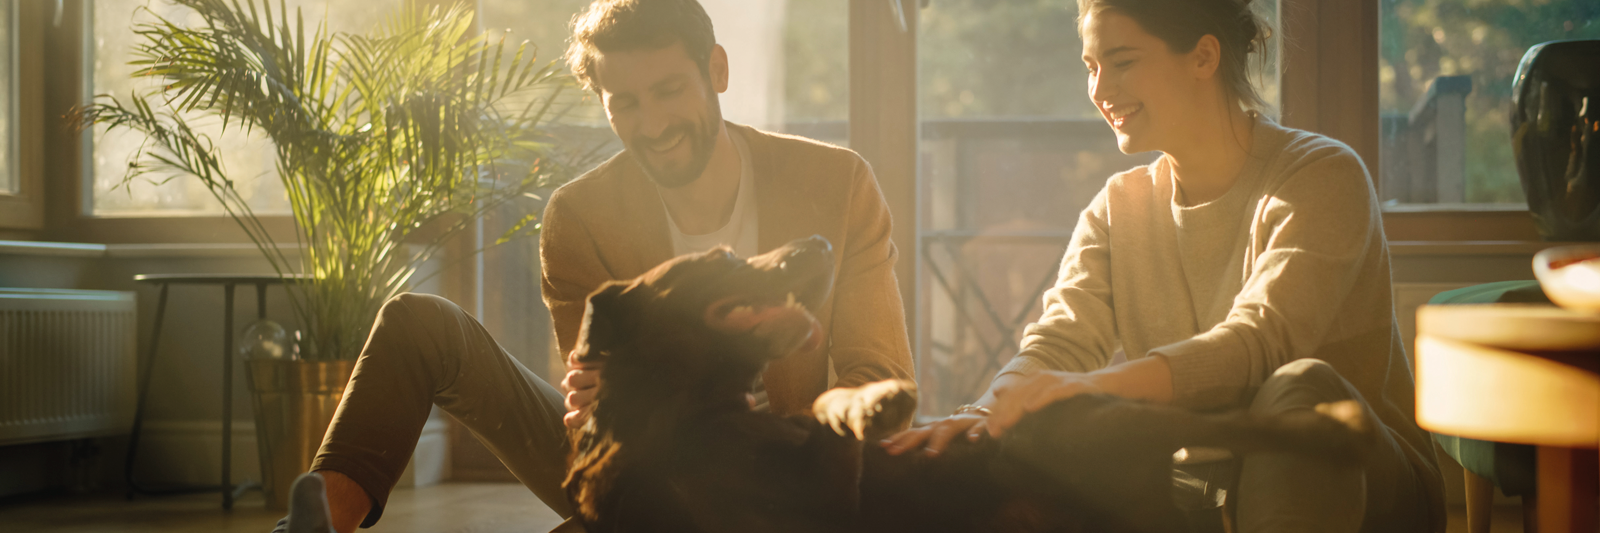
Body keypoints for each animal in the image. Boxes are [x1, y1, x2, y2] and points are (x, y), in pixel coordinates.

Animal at [560, 236, 1363, 531]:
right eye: (723, 256)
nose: (819, 243)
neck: (688, 416)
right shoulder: (812, 512)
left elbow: (825, 409)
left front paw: (871, 402)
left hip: (1076, 424)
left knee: (1228, 424)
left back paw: (1328, 425)